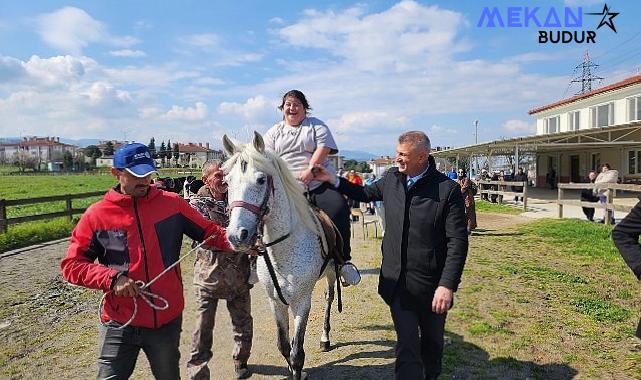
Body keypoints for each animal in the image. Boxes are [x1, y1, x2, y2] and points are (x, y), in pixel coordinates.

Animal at [222, 132, 338, 378]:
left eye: (260, 180)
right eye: (227, 182)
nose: (237, 235)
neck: (283, 251)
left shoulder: (302, 302)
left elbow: (297, 353)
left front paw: (298, 371)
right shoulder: (276, 302)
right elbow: (284, 346)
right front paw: (294, 370)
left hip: (332, 273)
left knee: (329, 298)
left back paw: (325, 338)